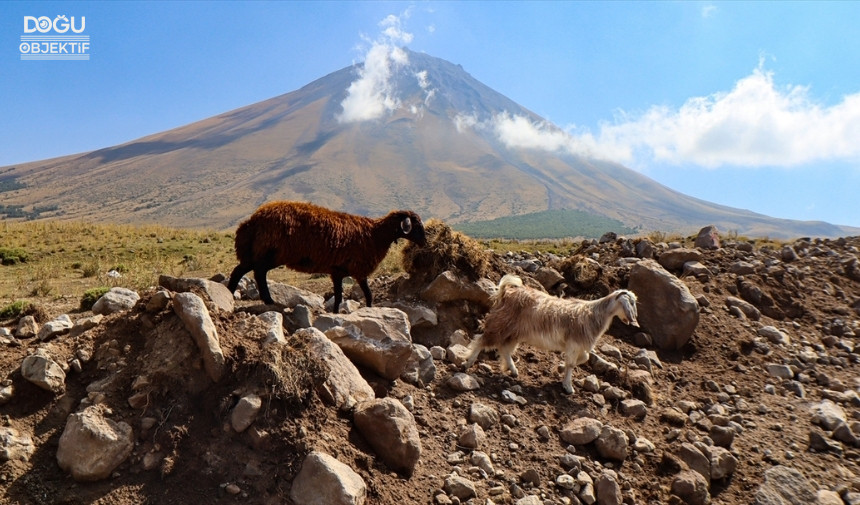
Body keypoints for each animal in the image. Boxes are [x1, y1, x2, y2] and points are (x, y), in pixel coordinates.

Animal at [227, 200, 424, 310]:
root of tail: (252, 221)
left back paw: (232, 293)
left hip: (259, 253)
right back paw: (267, 300)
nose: (424, 242)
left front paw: (336, 313)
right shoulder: (359, 271)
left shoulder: (338, 271)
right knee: (256, 272)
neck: (376, 235)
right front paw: (369, 309)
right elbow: (368, 295)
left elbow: (339, 297)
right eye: (416, 225)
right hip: (270, 254)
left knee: (243, 271)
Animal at [464, 274, 640, 392]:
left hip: (514, 333)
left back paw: (513, 370)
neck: (594, 314)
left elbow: (583, 359)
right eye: (630, 303)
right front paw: (568, 386)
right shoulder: (574, 343)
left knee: (504, 349)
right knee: (481, 340)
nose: (633, 320)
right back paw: (467, 363)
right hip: (500, 325)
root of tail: (505, 293)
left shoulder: (577, 345)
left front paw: (561, 369)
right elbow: (572, 363)